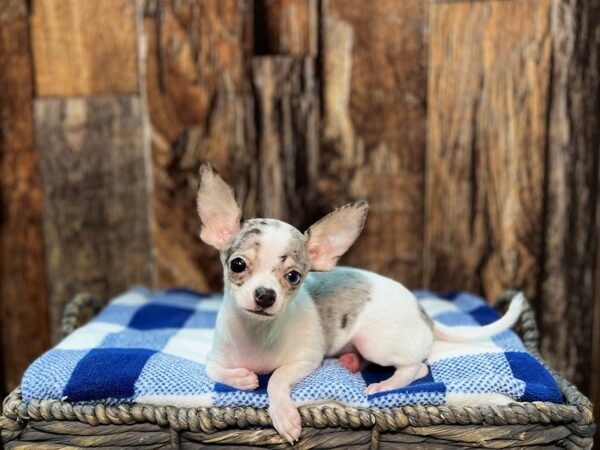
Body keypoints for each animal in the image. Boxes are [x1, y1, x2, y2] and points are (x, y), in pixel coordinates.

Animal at [197, 163, 524, 444]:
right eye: (237, 264)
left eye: (293, 277)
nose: (265, 295)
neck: (257, 331)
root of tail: (423, 312)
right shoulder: (215, 357)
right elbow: (213, 370)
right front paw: (242, 378)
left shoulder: (306, 360)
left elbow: (277, 378)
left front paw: (284, 415)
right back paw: (352, 361)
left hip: (375, 342)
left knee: (416, 368)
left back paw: (385, 384)